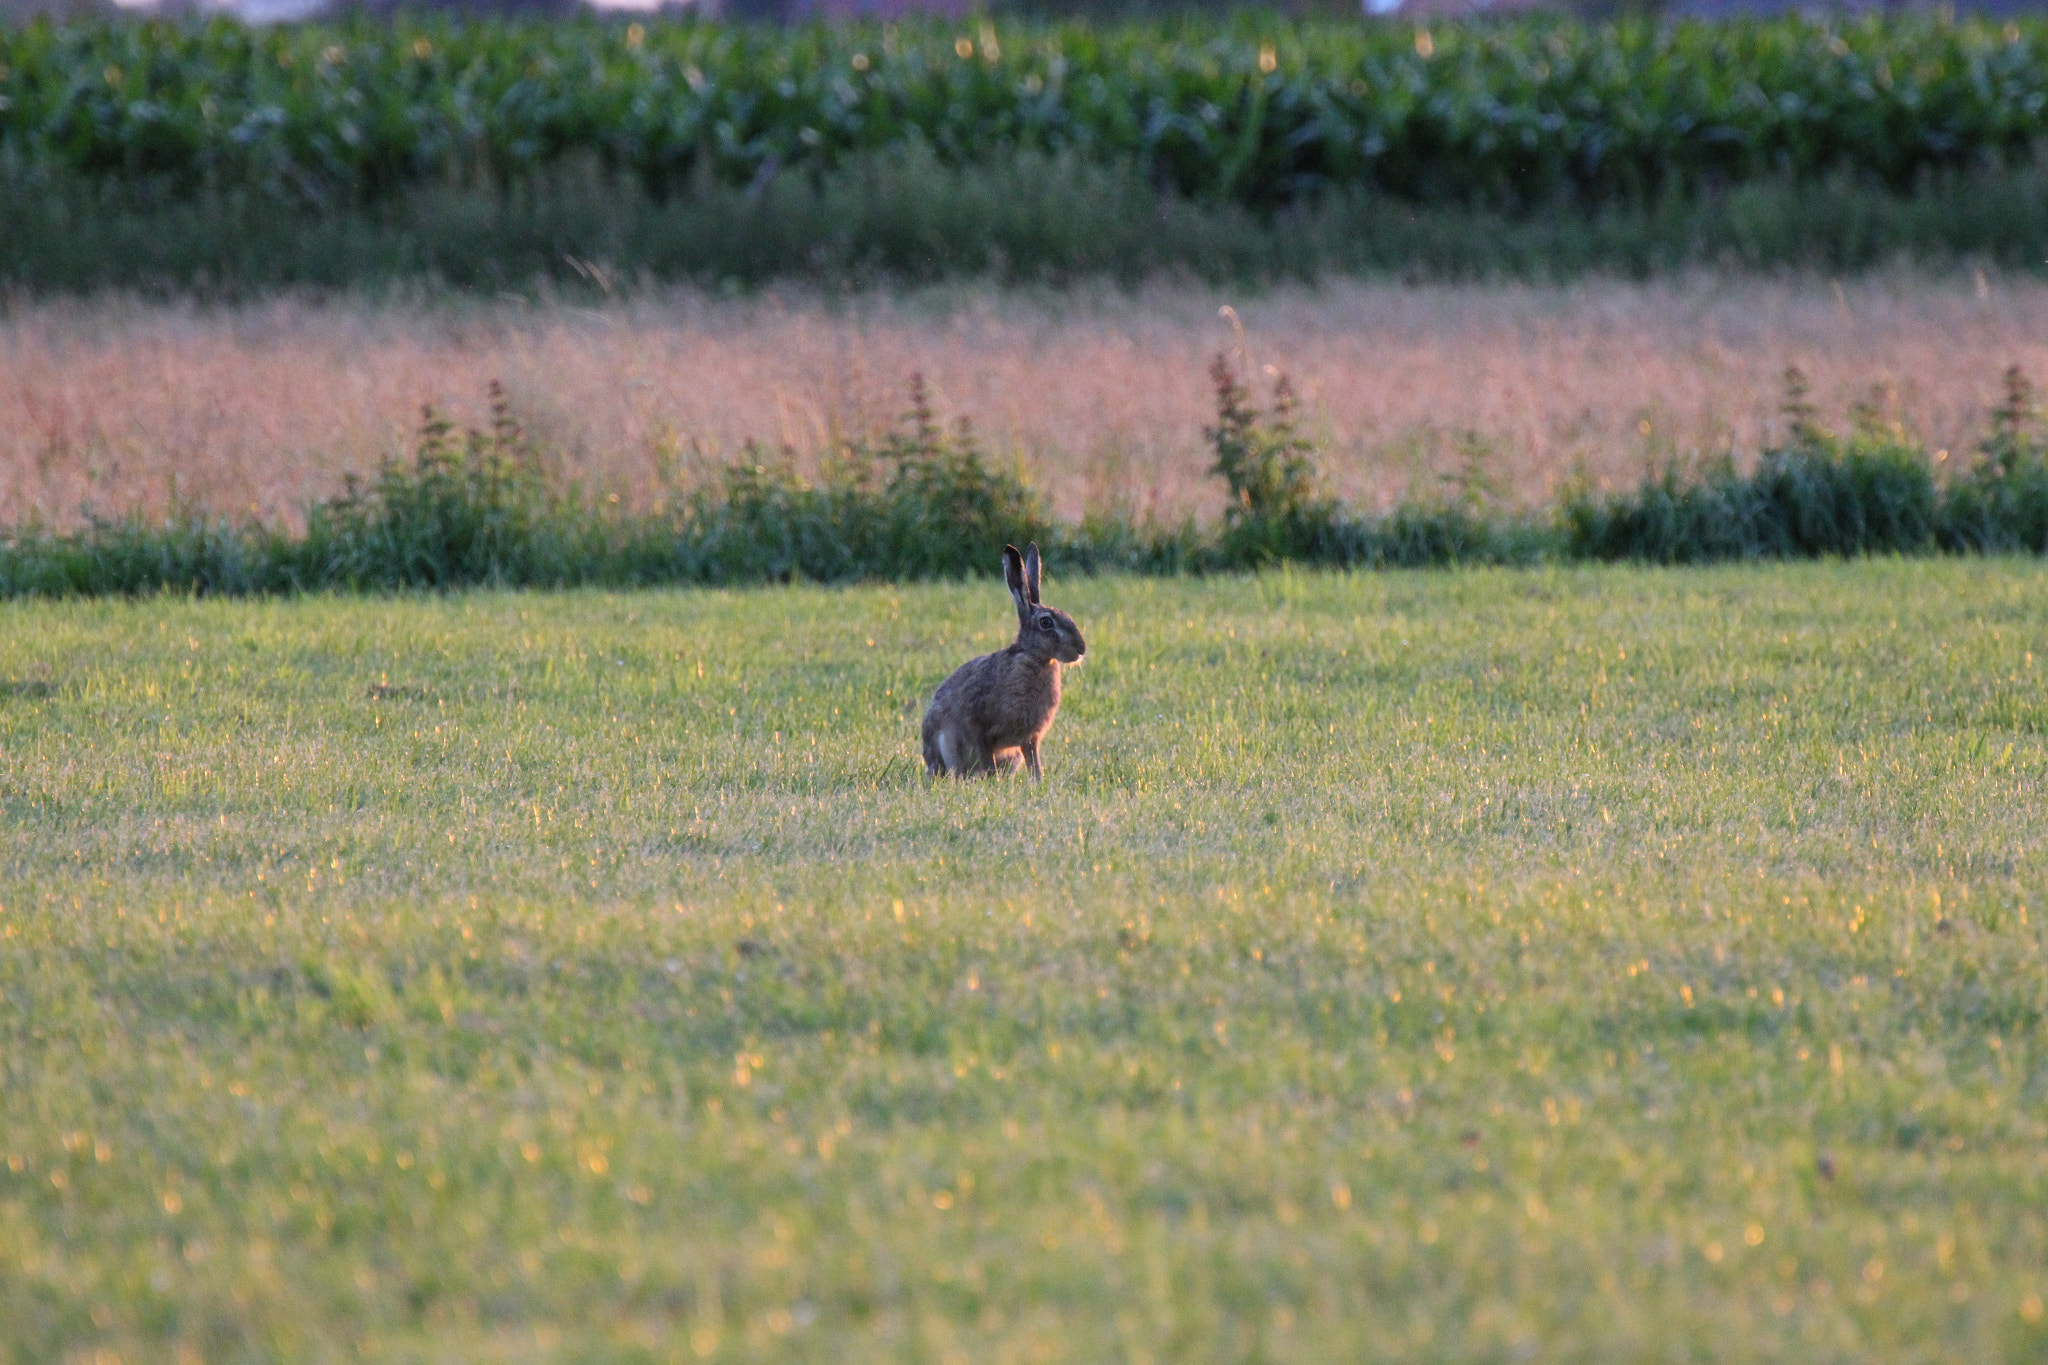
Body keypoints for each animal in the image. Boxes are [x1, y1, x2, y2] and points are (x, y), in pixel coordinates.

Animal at [922, 543, 1086, 779]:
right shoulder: (981, 730)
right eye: (1046, 623)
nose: (1081, 649)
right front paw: (996, 784)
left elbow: (1034, 765)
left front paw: (1037, 782)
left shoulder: (1029, 738)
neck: (1034, 659)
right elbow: (987, 759)